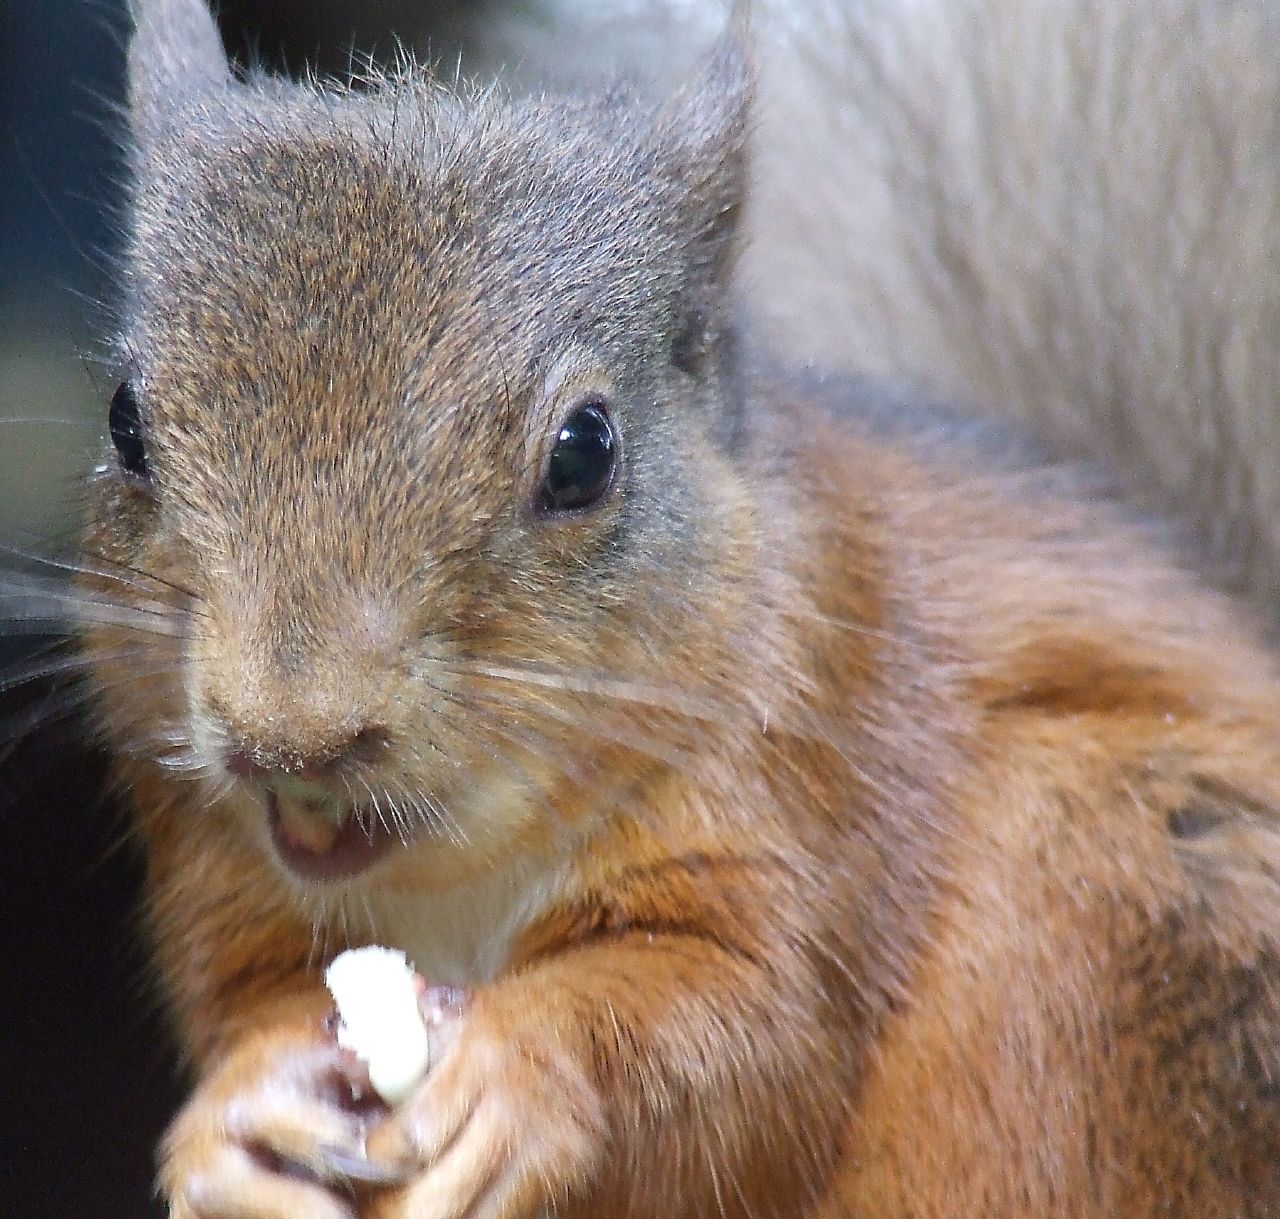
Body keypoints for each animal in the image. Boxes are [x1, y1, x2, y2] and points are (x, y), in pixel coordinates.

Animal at [80, 0, 1280, 1213]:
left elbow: (743, 1031)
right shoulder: (219, 877)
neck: (455, 880)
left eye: (583, 451)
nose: (287, 737)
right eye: (125, 420)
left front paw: (518, 1071)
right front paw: (240, 1114)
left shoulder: (816, 758)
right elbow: (245, 998)